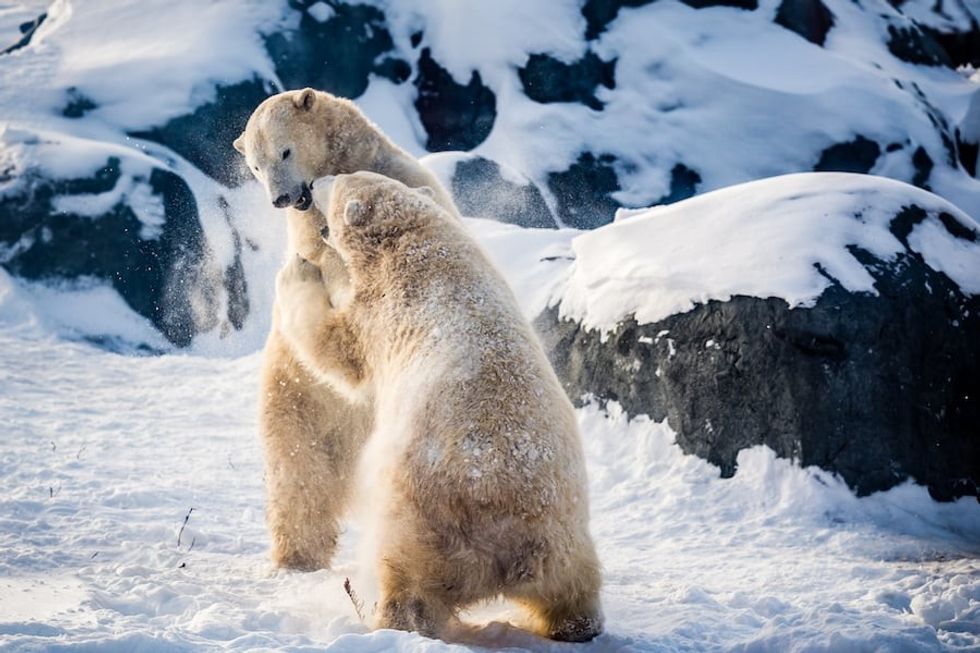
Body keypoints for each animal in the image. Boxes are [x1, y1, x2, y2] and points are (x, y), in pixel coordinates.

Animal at [233, 88, 460, 570]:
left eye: (284, 151)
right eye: (256, 166)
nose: (282, 197)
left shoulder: (402, 179)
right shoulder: (308, 238)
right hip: (297, 397)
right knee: (296, 472)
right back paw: (298, 553)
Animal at [274, 170, 604, 642]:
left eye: (337, 183)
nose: (314, 183)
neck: (418, 239)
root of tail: (509, 544)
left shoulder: (381, 310)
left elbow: (336, 348)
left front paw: (298, 269)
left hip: (421, 515)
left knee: (408, 578)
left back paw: (389, 618)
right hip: (565, 539)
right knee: (574, 587)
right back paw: (575, 624)